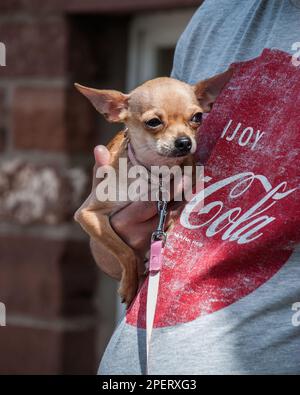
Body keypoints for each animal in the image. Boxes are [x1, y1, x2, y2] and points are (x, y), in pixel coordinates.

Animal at [74, 70, 232, 306]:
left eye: (197, 118)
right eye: (153, 122)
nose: (184, 142)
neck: (156, 172)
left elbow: (179, 208)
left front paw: (171, 222)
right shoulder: (88, 214)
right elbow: (125, 251)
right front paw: (129, 285)